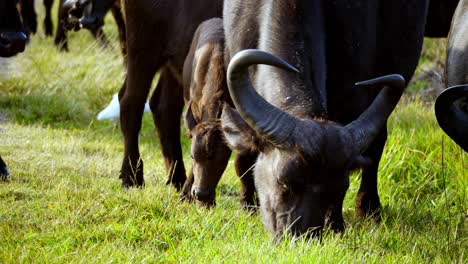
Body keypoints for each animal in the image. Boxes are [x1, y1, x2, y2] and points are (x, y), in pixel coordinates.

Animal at [119, 0, 225, 192]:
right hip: (143, 48)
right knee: (131, 102)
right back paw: (132, 177)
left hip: (174, 63)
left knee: (164, 107)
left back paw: (176, 179)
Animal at [223, 0, 432, 235]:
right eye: (284, 182)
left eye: (340, 189)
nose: (303, 235)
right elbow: (243, 155)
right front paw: (247, 205)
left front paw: (336, 225)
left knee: (376, 147)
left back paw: (369, 209)